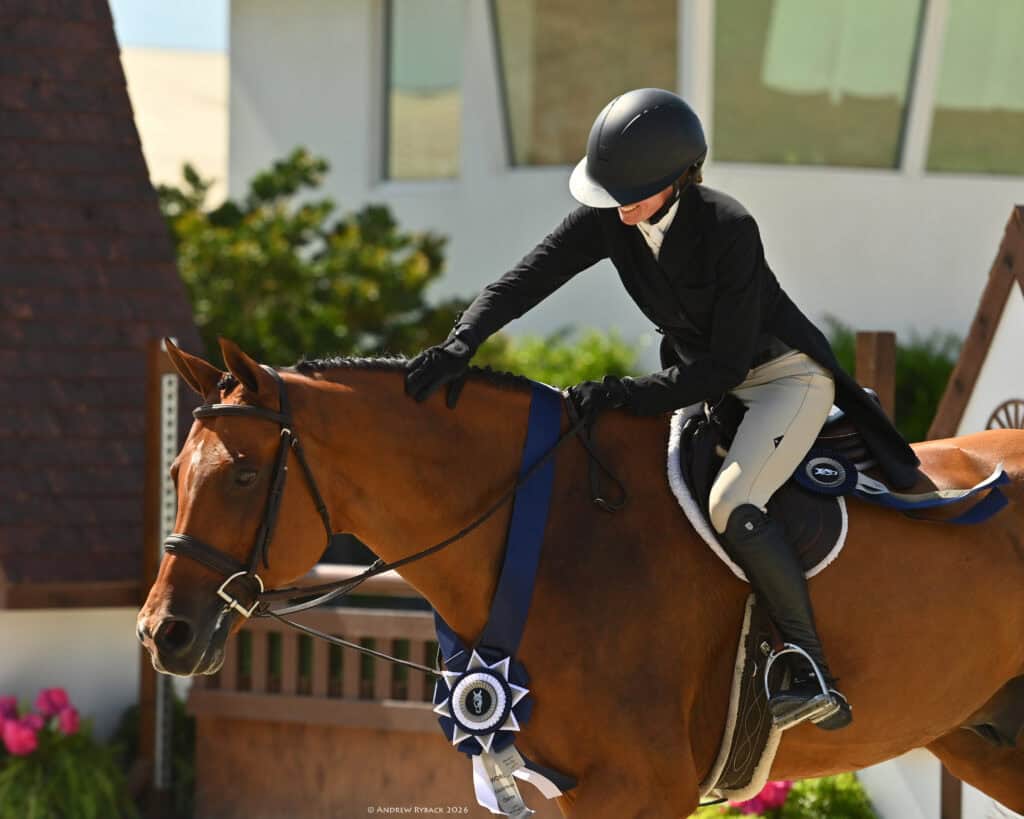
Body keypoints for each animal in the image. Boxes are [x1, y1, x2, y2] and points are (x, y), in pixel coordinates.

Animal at [137, 337, 1024, 818]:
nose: (163, 633)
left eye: (244, 476)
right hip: (986, 736)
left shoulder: (645, 786)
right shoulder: (573, 787)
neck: (543, 530)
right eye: (175, 470)